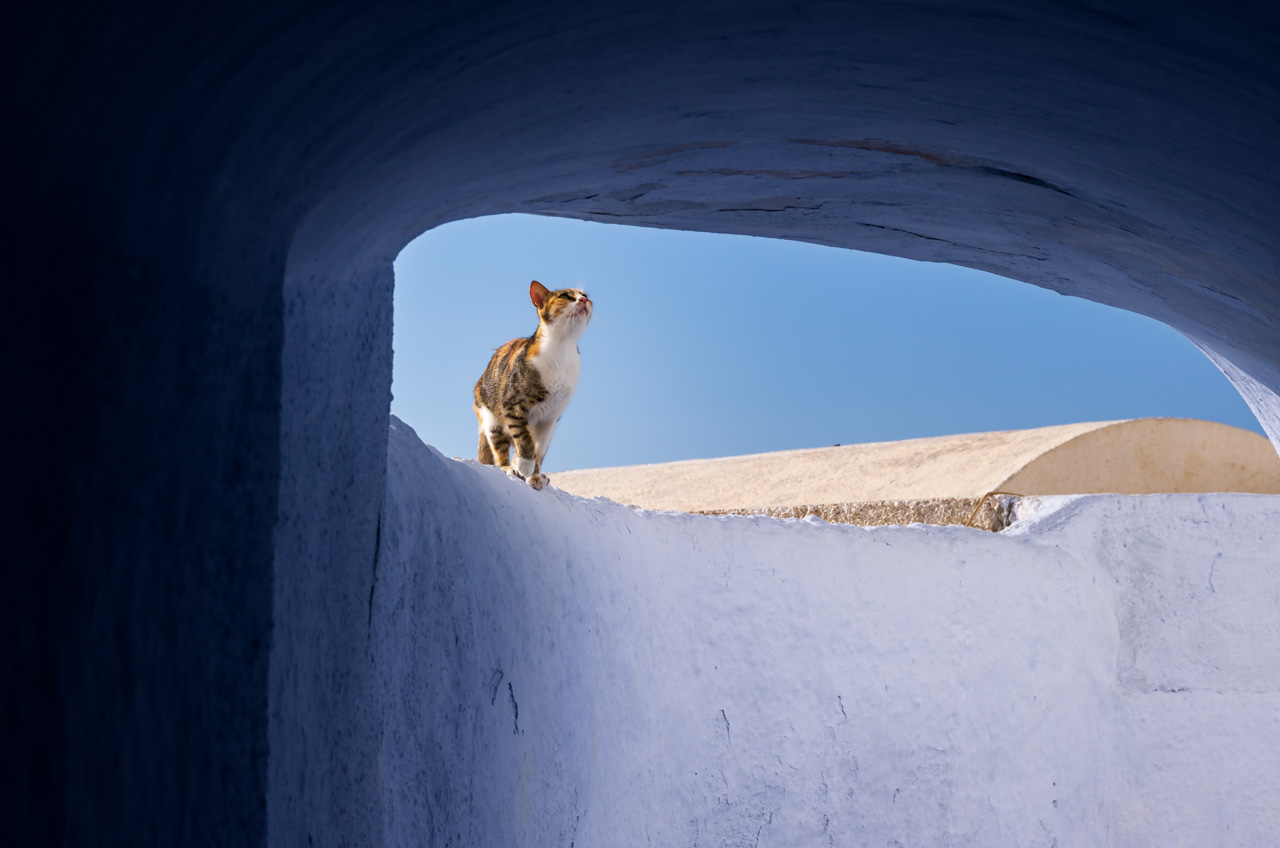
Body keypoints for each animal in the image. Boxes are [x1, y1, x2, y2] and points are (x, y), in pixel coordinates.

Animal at [473, 280, 591, 491]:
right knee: (499, 449)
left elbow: (539, 451)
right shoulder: (512, 404)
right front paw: (525, 465)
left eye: (585, 294)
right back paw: (509, 467)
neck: (562, 350)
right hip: (491, 418)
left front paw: (534, 475)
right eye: (565, 296)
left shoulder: (551, 418)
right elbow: (524, 437)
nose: (584, 300)